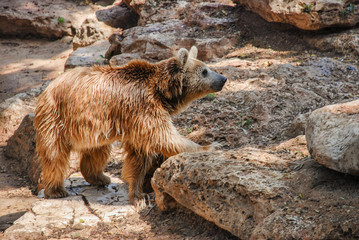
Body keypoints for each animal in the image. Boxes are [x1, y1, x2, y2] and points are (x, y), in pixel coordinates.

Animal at [33, 46, 225, 203]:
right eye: (205, 71)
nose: (223, 78)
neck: (161, 92)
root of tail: (48, 87)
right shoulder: (142, 107)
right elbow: (163, 137)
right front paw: (211, 146)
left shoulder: (137, 119)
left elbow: (139, 156)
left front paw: (138, 193)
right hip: (58, 117)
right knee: (54, 154)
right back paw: (56, 190)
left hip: (93, 125)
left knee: (97, 150)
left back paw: (99, 177)